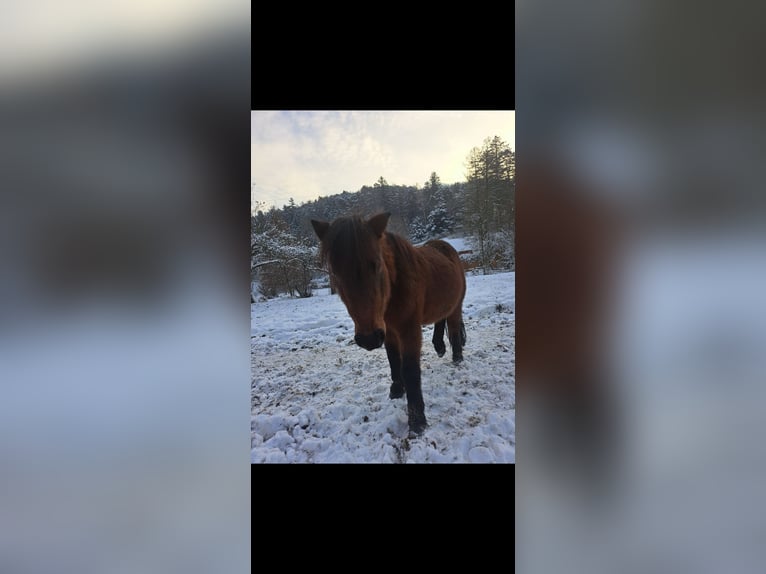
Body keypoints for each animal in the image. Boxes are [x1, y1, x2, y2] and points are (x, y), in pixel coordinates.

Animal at [312, 213, 468, 436]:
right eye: (334, 273)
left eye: (376, 264)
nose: (368, 339)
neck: (395, 289)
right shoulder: (388, 331)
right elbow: (394, 360)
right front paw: (396, 391)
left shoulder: (408, 330)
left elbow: (410, 370)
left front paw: (417, 421)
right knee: (441, 320)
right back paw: (439, 347)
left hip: (456, 305)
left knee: (454, 328)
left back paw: (457, 357)